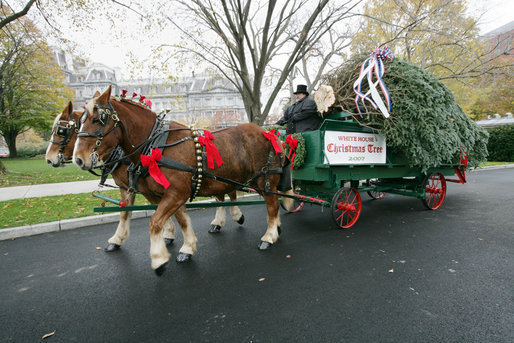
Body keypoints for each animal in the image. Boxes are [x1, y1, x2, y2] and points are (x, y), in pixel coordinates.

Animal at [45, 101, 243, 254]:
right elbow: (129, 212)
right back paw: (220, 222)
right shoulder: (134, 187)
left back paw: (233, 216)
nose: (49, 158)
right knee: (223, 192)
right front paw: (165, 235)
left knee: (228, 191)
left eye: (61, 130)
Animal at [74, 86, 294, 276]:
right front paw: (187, 247)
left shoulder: (175, 193)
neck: (156, 146)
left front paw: (159, 259)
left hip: (265, 180)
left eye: (98, 119)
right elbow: (181, 221)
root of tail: (269, 133)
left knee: (272, 205)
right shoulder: (168, 194)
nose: (78, 159)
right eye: (79, 122)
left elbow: (155, 222)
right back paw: (273, 228)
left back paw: (269, 236)